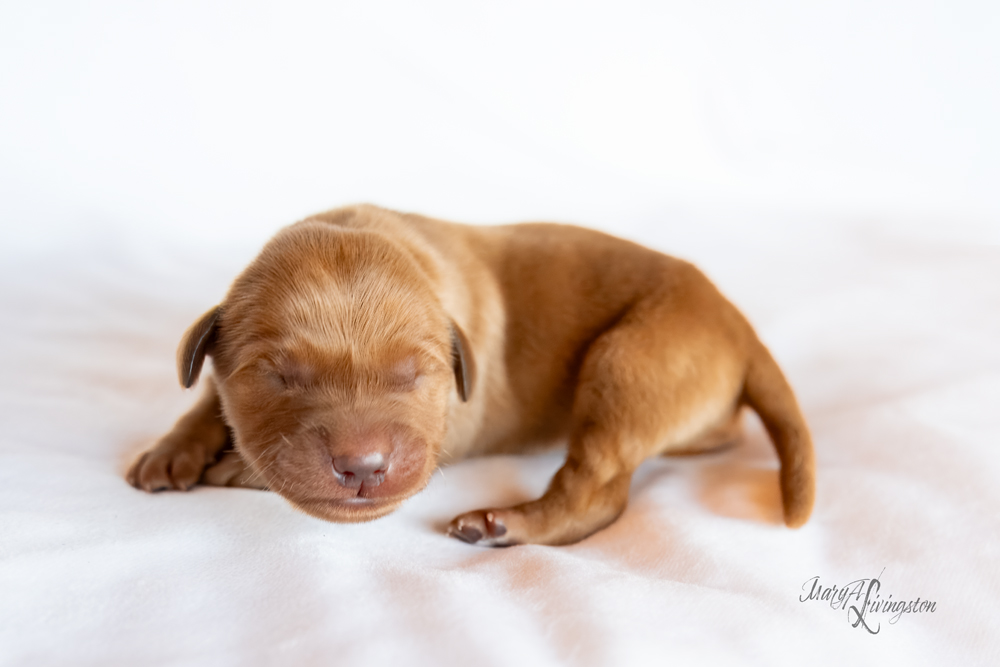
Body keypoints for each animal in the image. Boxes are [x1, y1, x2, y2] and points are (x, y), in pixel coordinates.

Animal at [127, 205, 812, 548]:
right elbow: (205, 397)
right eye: (278, 377)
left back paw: (507, 523)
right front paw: (172, 448)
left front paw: (230, 466)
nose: (362, 466)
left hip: (631, 362)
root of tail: (738, 324)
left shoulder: (451, 427)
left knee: (597, 491)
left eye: (413, 375)